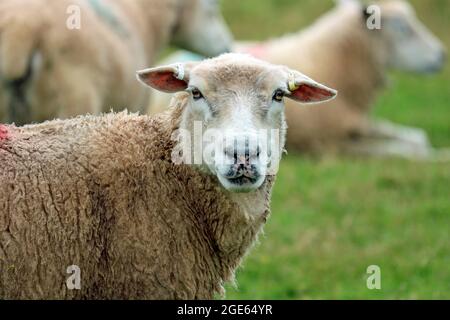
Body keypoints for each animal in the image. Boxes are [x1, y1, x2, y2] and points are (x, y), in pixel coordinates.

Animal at [149, 0, 446, 160]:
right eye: (402, 28)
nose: (441, 55)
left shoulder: (357, 125)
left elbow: (416, 138)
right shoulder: (329, 145)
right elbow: (406, 150)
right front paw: (440, 157)